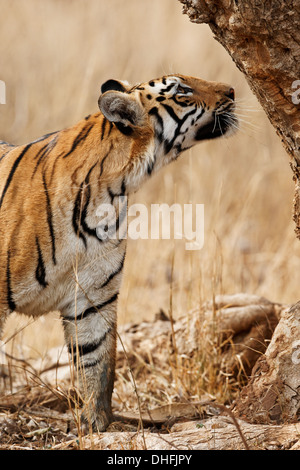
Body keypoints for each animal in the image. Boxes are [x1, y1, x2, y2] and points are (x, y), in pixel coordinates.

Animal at [0, 73, 237, 430]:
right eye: (182, 91)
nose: (233, 91)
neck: (113, 190)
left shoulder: (93, 296)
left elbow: (96, 363)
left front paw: (95, 425)